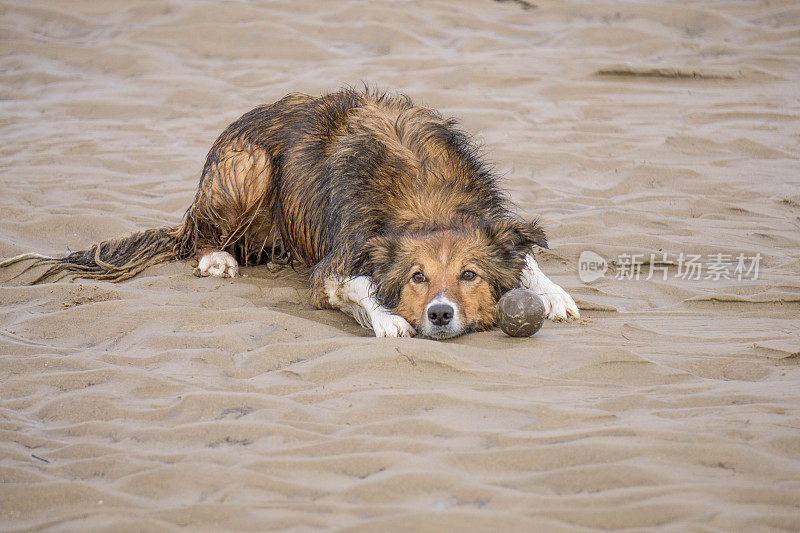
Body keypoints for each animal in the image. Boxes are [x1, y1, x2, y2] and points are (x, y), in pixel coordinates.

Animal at [0, 87, 580, 336]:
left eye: (470, 275)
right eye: (417, 277)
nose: (439, 313)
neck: (426, 197)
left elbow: (527, 257)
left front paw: (555, 294)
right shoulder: (339, 259)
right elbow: (355, 284)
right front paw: (389, 318)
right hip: (249, 167)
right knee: (202, 235)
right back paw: (217, 258)